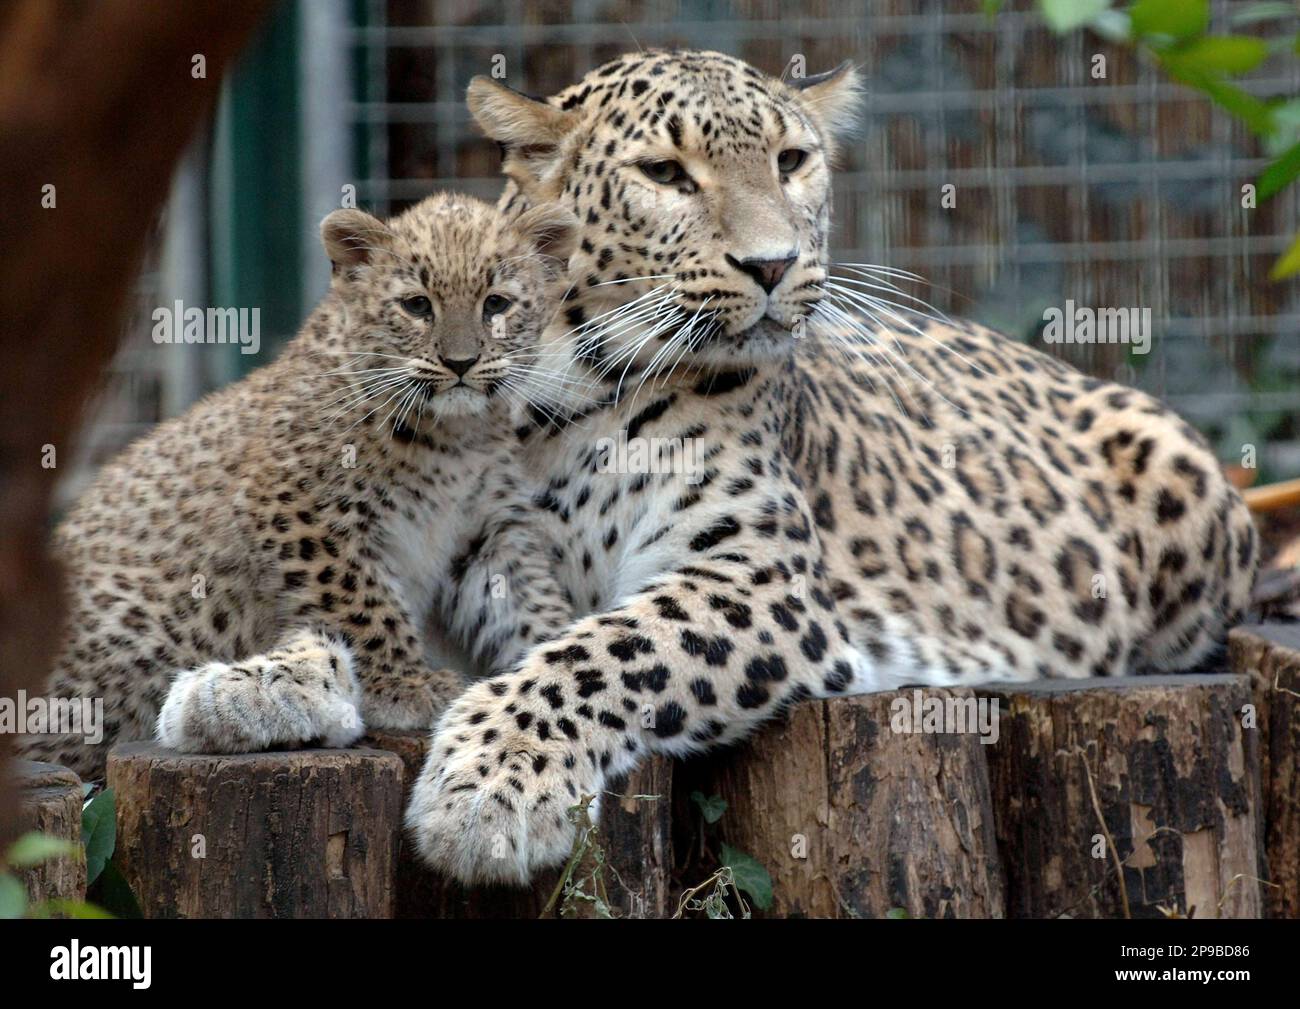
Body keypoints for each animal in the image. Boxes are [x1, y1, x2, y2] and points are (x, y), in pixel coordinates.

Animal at [19, 191, 579, 779]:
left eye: (496, 304)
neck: (456, 436)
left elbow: (527, 598)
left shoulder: (486, 532)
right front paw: (405, 687)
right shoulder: (297, 509)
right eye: (416, 306)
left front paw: (553, 658)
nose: (461, 362)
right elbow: (364, 601)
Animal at [406, 49, 1258, 886]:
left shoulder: (765, 578)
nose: (773, 265)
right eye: (666, 173)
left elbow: (610, 650)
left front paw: (490, 783)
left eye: (790, 161)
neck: (568, 400)